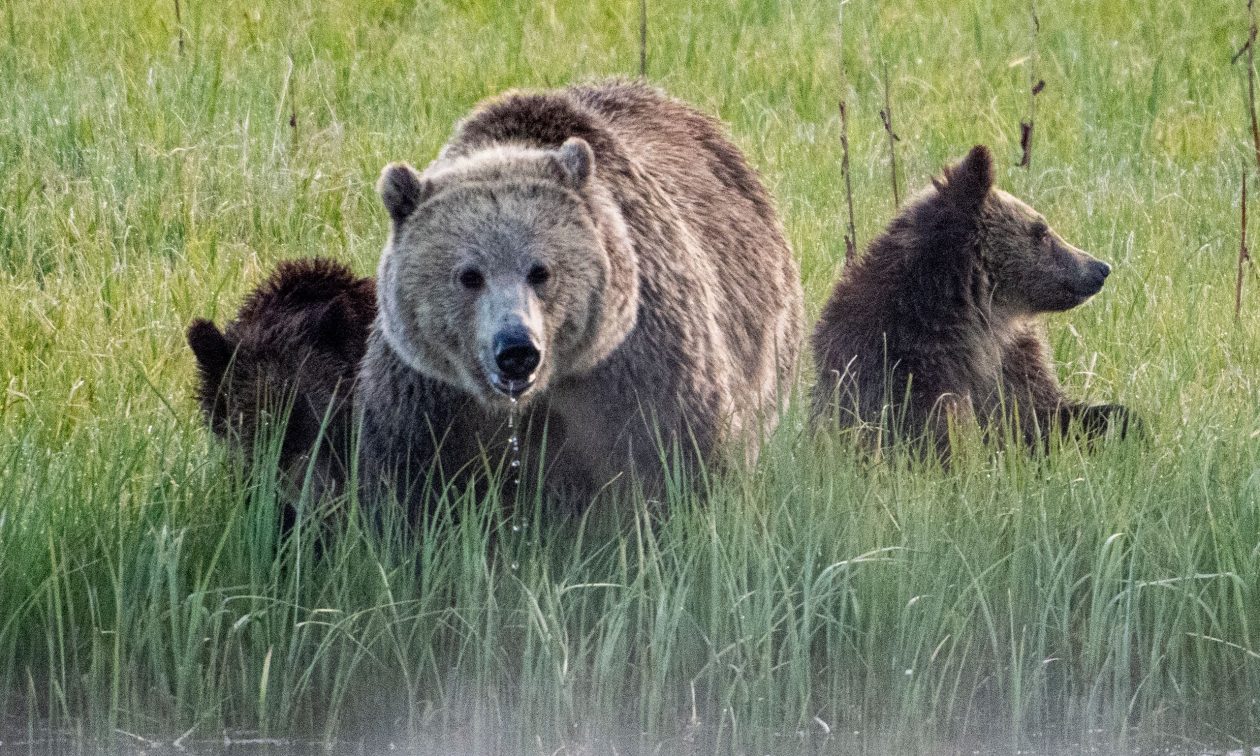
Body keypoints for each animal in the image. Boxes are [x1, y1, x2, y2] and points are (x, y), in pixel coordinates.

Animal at [360, 79, 801, 511]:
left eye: (541, 271)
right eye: (469, 276)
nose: (516, 349)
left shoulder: (639, 365)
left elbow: (681, 456)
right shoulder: (430, 394)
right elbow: (407, 479)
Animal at [811, 146, 1139, 453]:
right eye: (1041, 231)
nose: (1100, 268)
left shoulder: (1011, 366)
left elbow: (1047, 414)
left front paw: (1124, 425)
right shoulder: (903, 375)